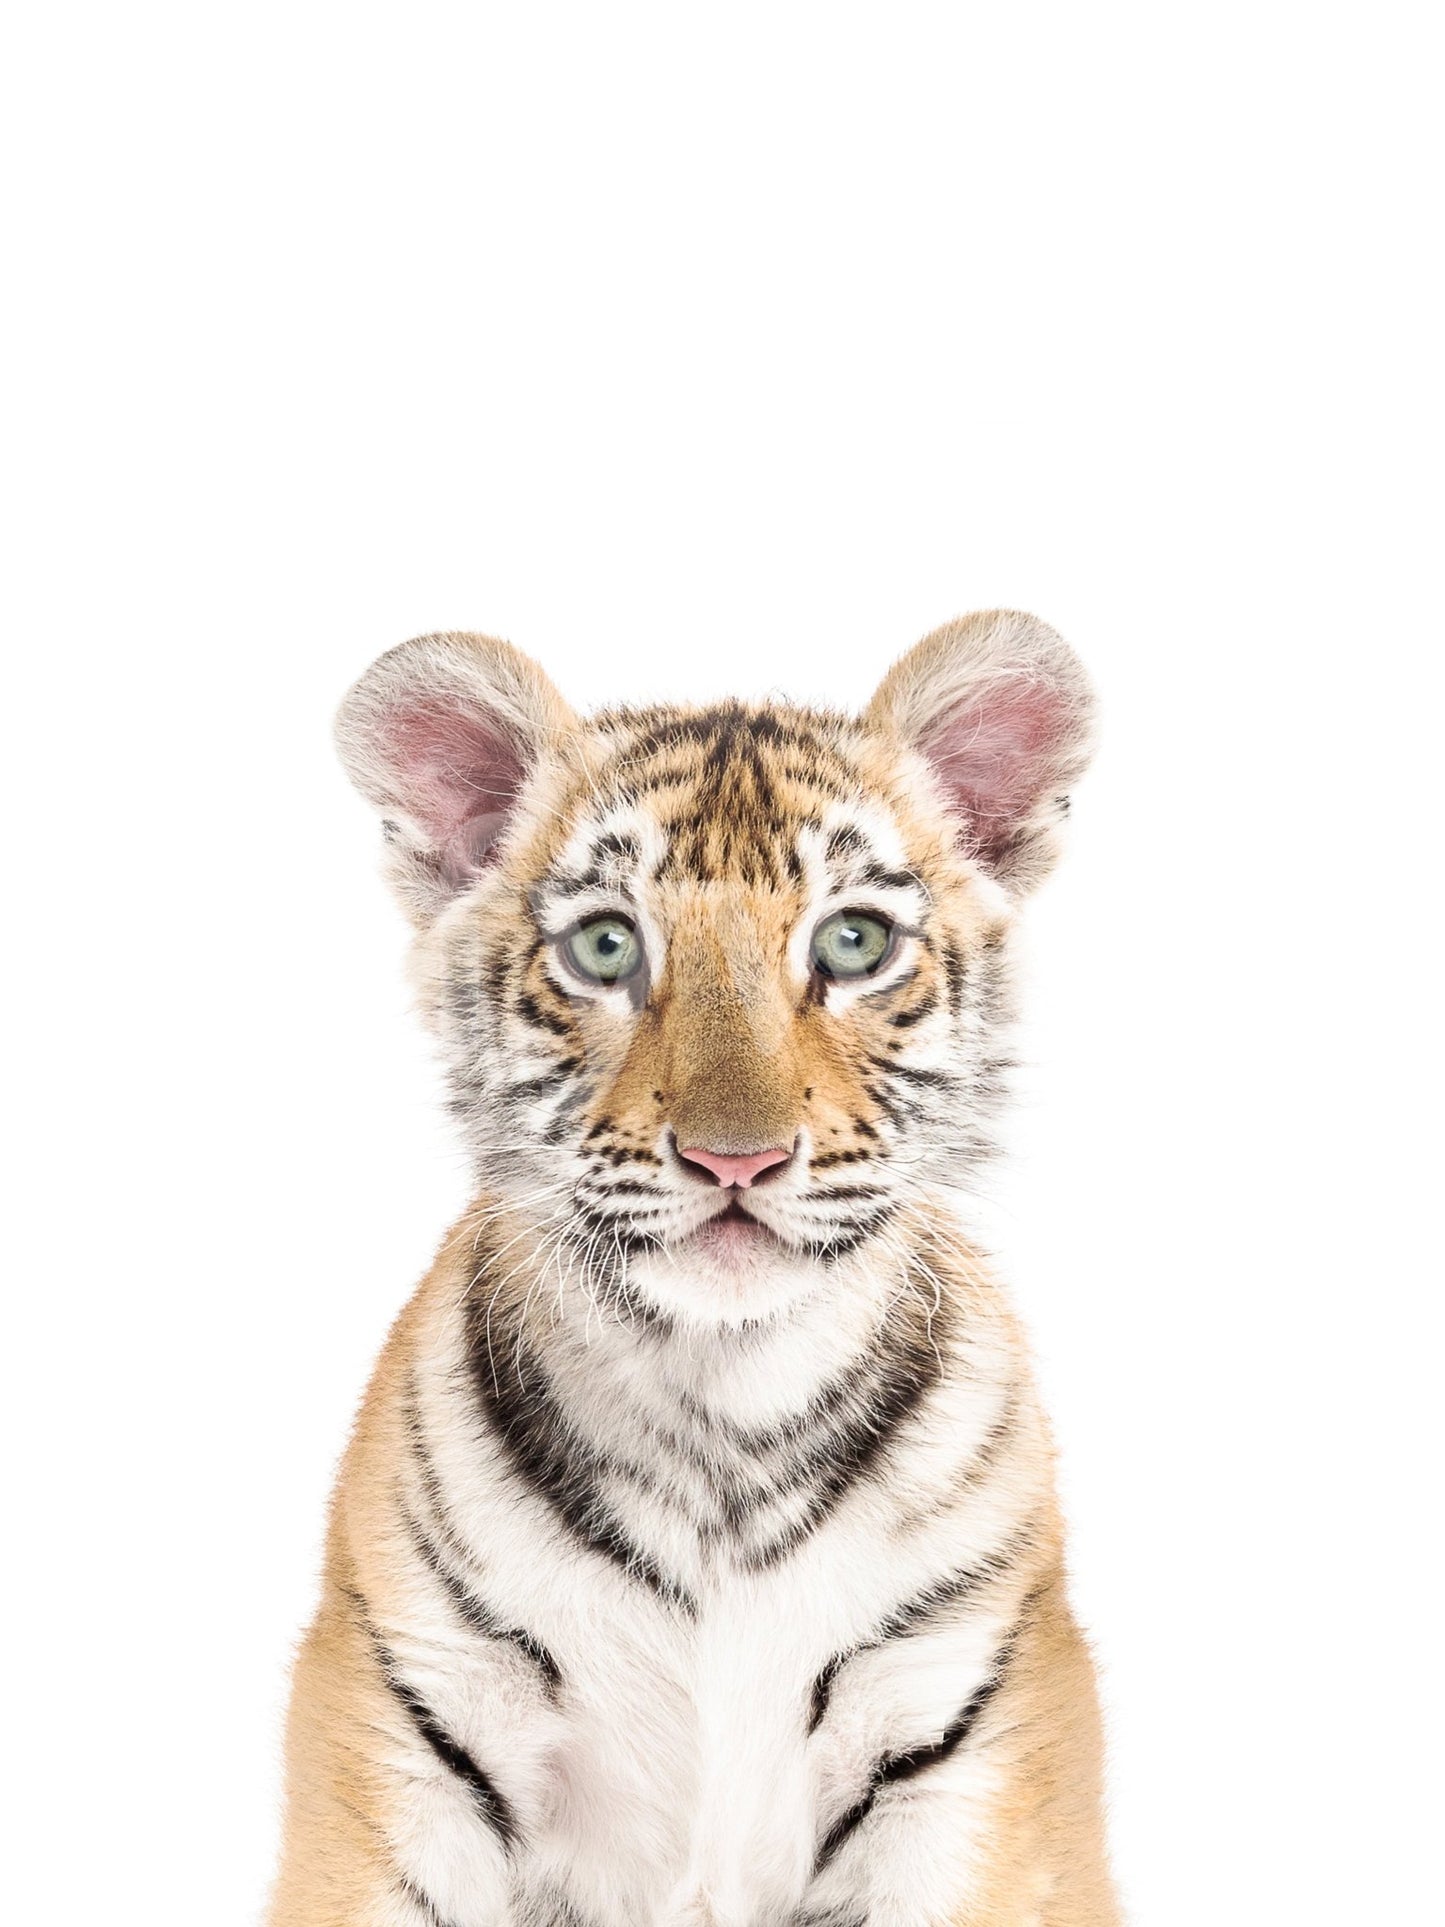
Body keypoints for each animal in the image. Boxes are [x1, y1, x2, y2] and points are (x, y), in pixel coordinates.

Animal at [267, 610, 1121, 1927]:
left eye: (852, 942)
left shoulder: (967, 1731)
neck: (723, 1405)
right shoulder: (408, 1717)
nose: (737, 1157)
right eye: (605, 944)